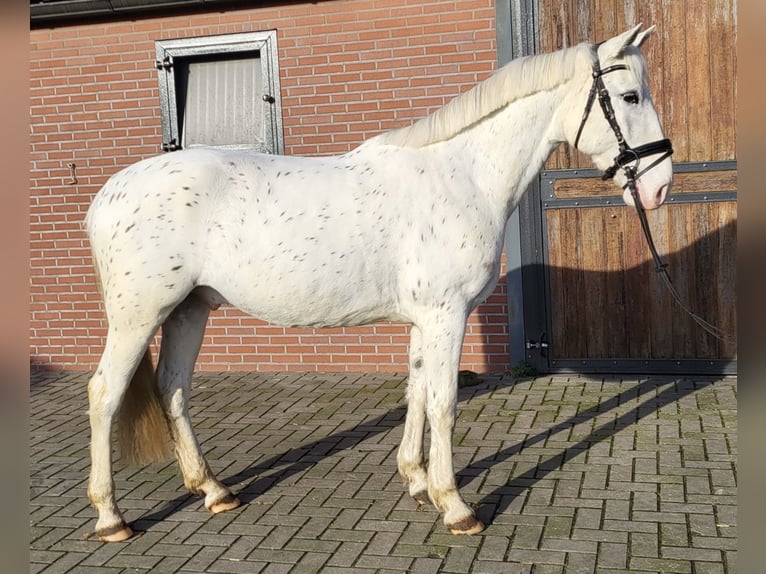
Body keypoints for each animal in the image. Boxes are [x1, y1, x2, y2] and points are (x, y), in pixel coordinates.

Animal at [82, 23, 672, 544]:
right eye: (630, 95)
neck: (461, 174)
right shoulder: (445, 314)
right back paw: (112, 519)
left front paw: (416, 482)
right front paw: (455, 506)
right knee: (106, 393)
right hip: (139, 317)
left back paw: (214, 491)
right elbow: (443, 402)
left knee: (173, 389)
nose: (661, 188)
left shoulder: (424, 319)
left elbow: (416, 392)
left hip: (190, 309)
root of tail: (108, 195)